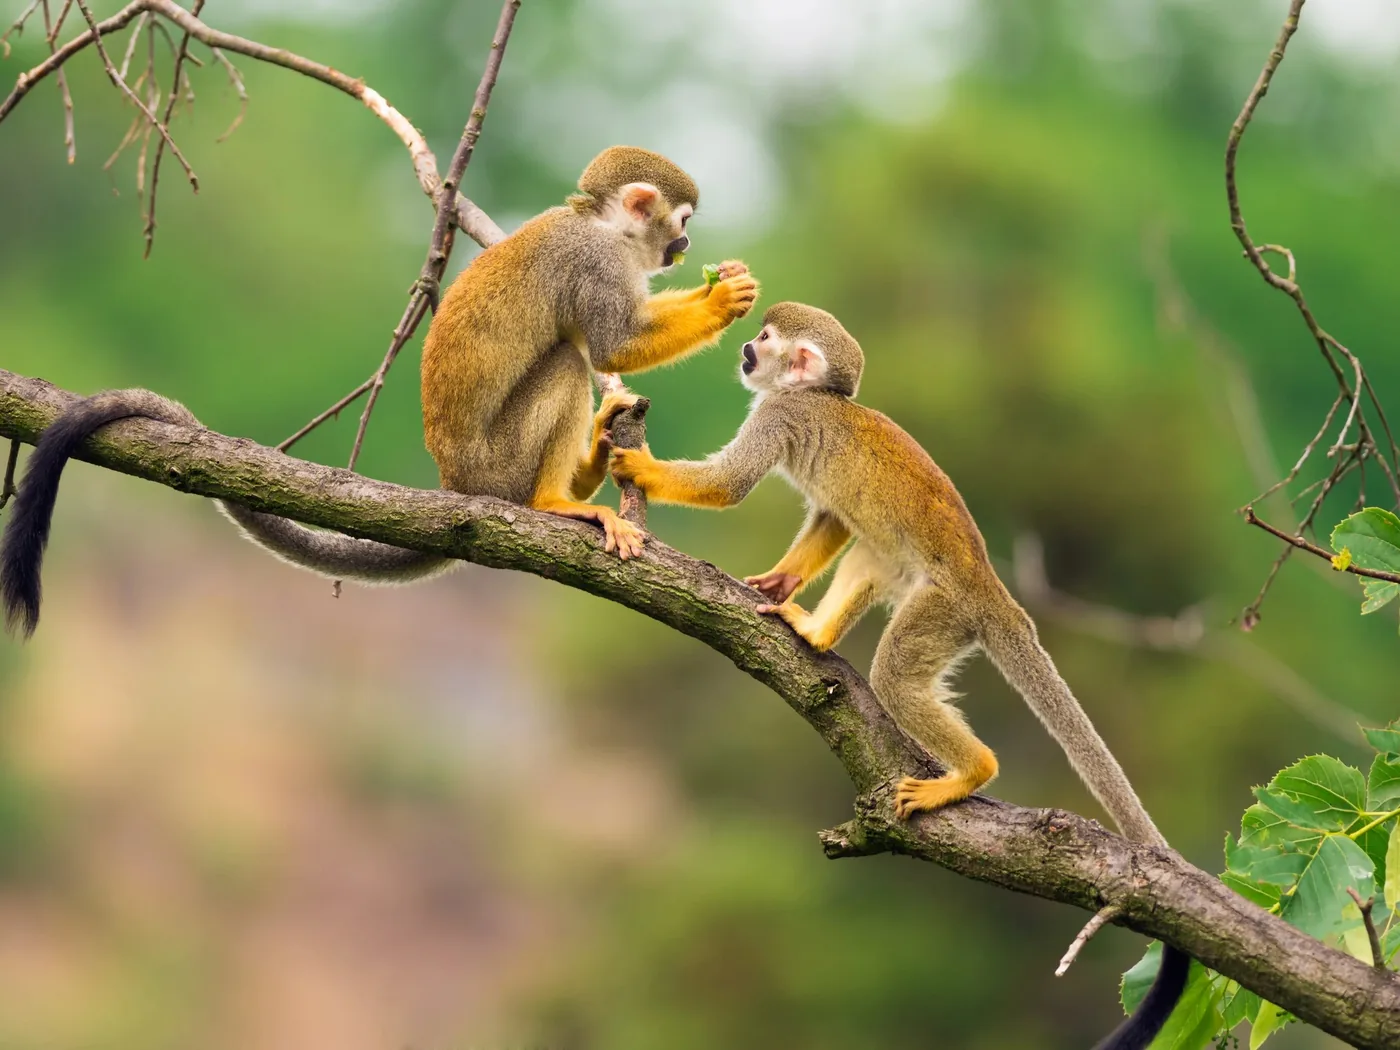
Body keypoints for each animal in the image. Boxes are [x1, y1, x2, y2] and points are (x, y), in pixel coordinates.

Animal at [1, 146, 758, 636]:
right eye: (681, 220)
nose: (686, 246)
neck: (604, 227)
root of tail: (457, 486)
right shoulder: (594, 264)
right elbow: (610, 346)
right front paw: (725, 301)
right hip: (499, 464)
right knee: (568, 362)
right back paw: (556, 502)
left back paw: (596, 457)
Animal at [609, 301, 1191, 1050]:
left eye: (764, 340)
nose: (744, 350)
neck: (819, 398)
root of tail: (993, 590)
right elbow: (830, 518)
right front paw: (781, 580)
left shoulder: (781, 415)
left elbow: (731, 485)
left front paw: (641, 466)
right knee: (871, 548)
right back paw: (817, 633)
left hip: (944, 610)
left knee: (896, 675)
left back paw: (971, 772)